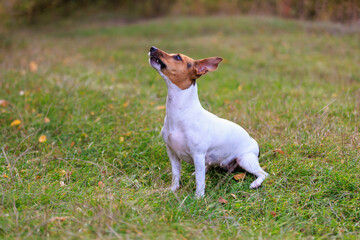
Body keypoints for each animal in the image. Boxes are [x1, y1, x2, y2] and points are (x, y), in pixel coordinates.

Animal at [148, 46, 268, 197]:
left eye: (177, 57)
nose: (152, 48)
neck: (181, 112)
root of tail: (254, 142)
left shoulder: (198, 155)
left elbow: (200, 181)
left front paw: (198, 198)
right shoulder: (173, 153)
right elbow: (176, 175)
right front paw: (173, 189)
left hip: (245, 160)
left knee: (263, 173)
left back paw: (256, 183)